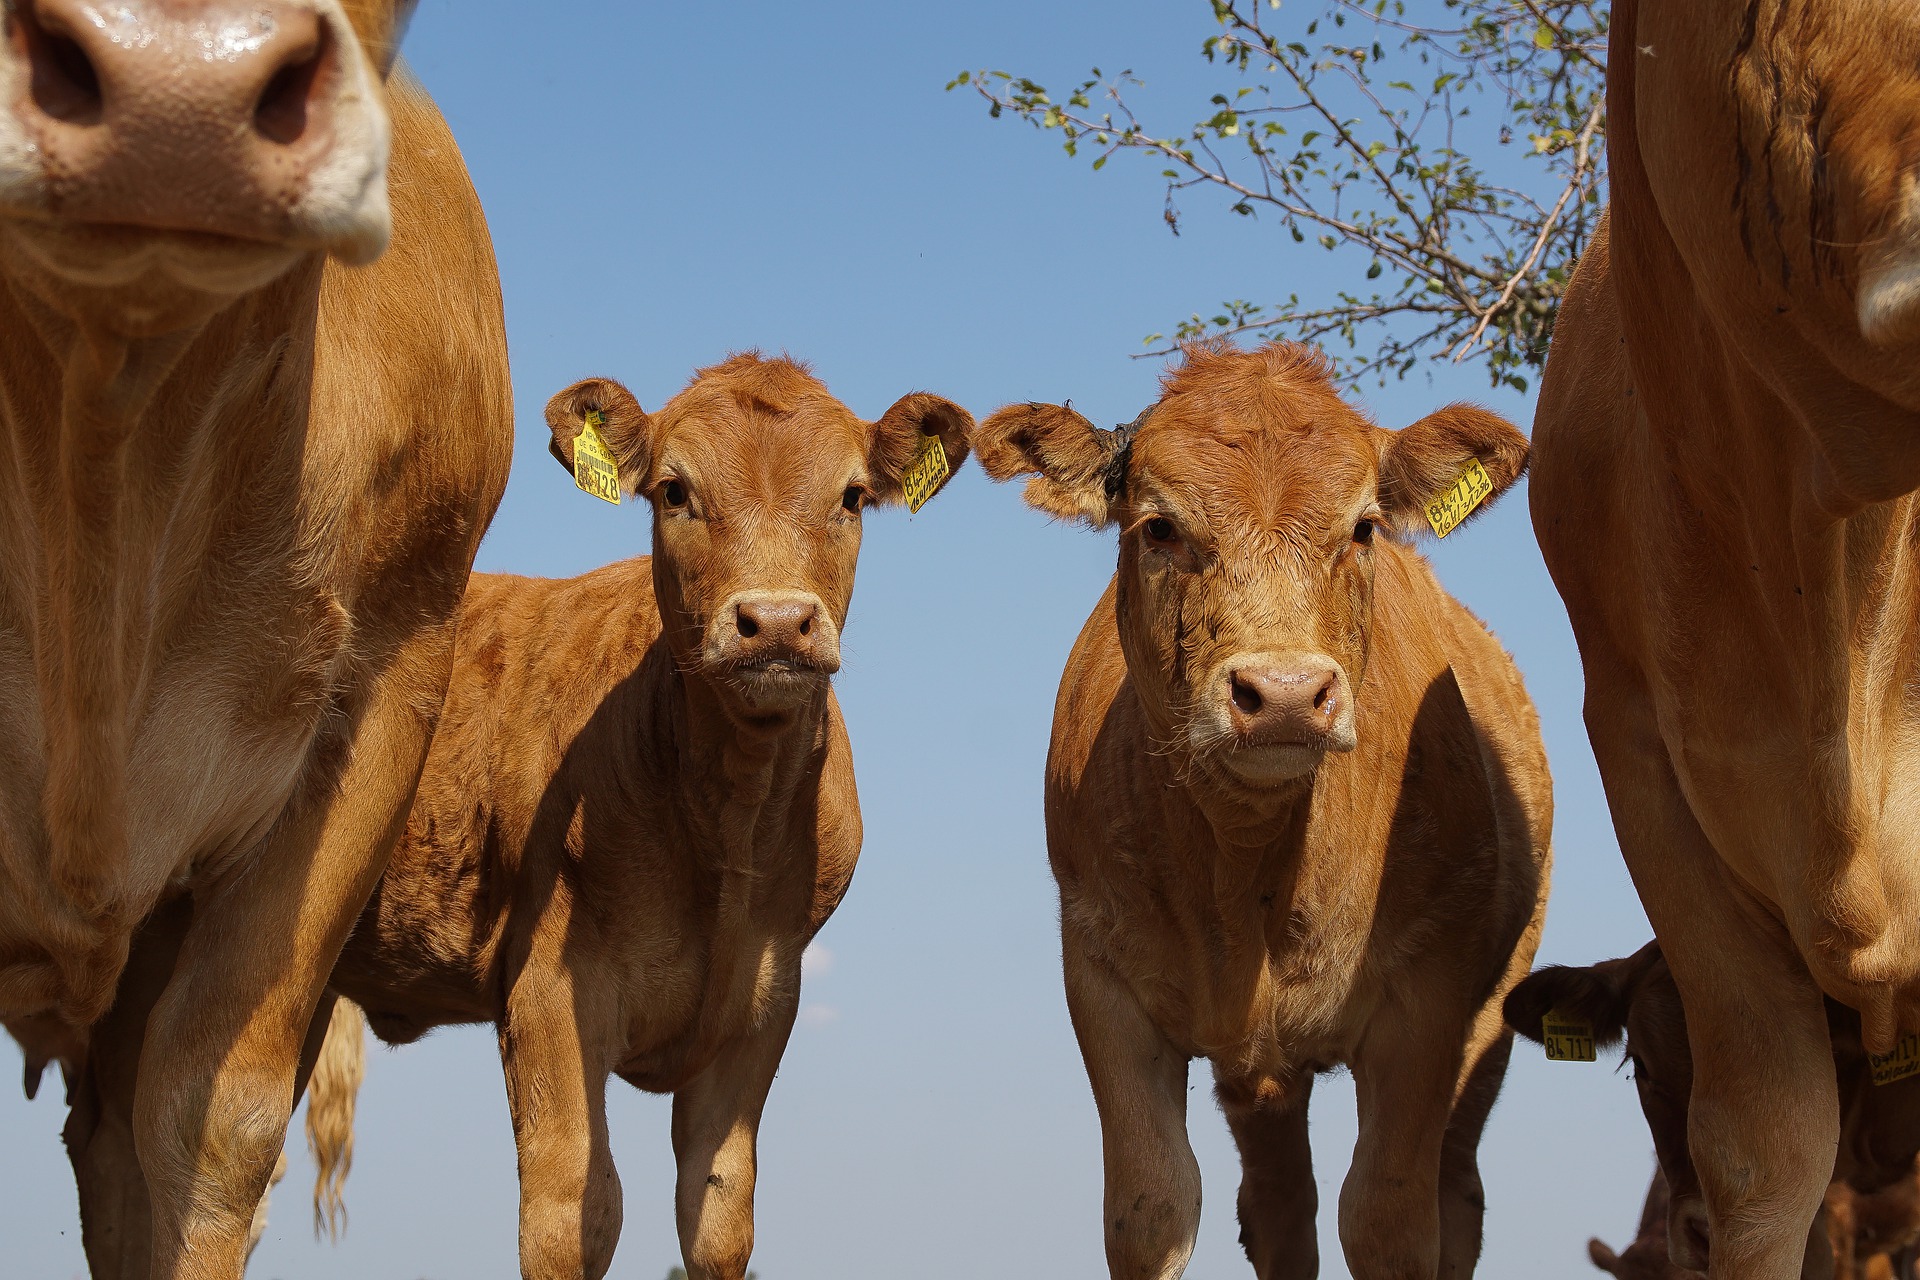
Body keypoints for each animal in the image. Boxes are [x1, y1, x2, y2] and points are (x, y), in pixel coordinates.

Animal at [315, 354, 975, 1279]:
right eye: (674, 491)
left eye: (850, 496)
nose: (777, 622)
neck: (728, 824)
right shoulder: (548, 988)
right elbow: (575, 1210)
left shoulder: (762, 1006)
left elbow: (717, 1210)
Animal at [973, 339, 1552, 1279]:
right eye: (1159, 527)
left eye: (1364, 528)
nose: (1283, 694)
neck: (1251, 867)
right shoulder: (1103, 981)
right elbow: (1152, 1208)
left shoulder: (1427, 1002)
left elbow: (1389, 1220)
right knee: (1282, 1207)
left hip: (1495, 1012)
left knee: (1453, 1194)